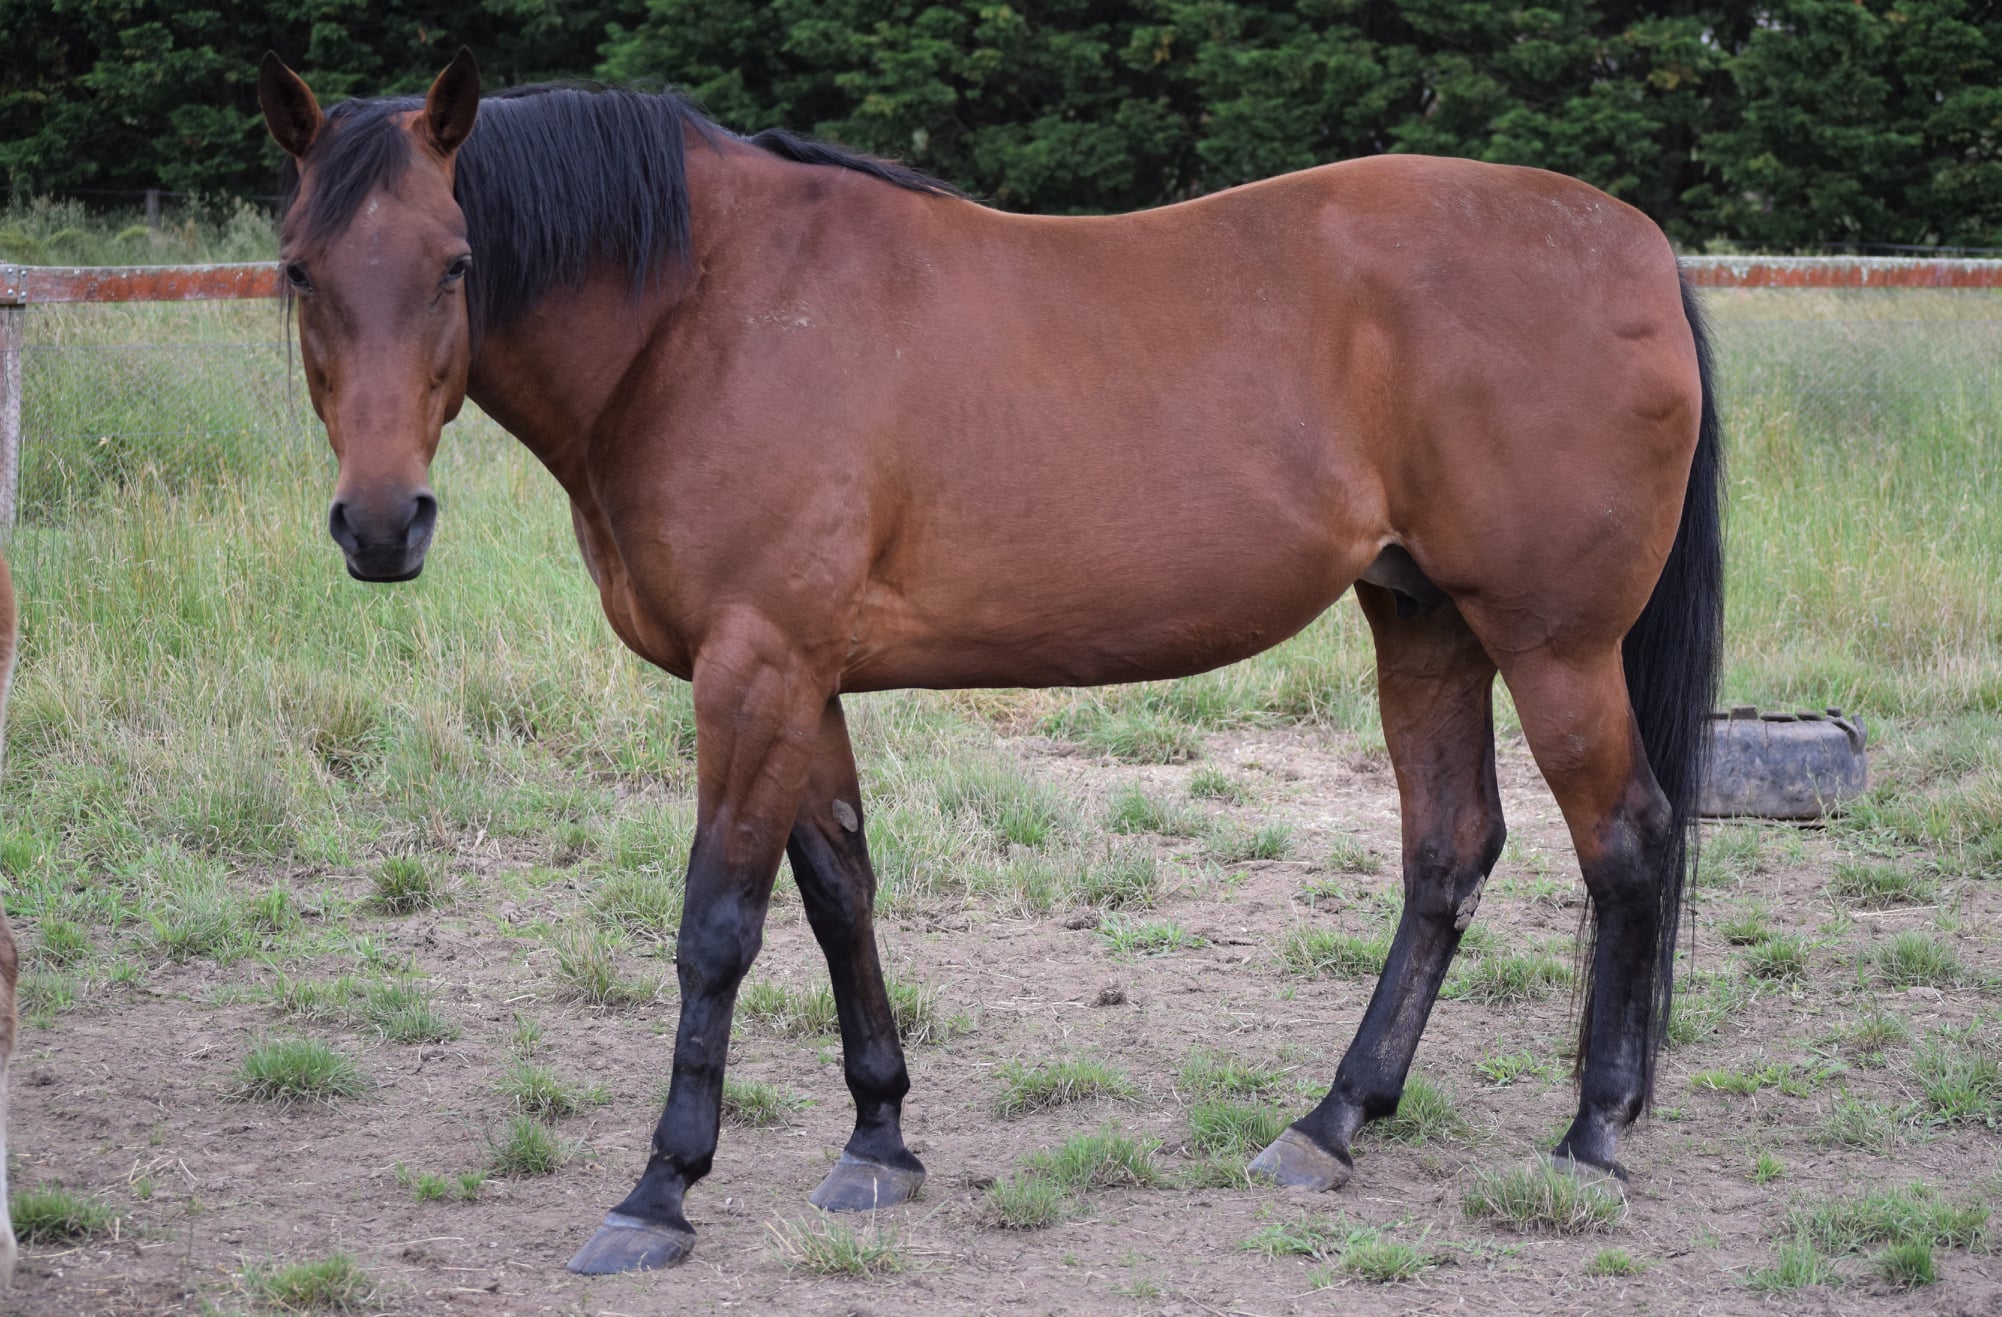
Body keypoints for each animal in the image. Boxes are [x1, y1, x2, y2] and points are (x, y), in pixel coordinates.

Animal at [258, 49, 1722, 1275]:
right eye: (298, 270)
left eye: (456, 263)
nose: (380, 524)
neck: (704, 316)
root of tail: (1634, 246)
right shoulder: (801, 679)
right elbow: (838, 892)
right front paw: (878, 1140)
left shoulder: (753, 669)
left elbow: (716, 926)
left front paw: (659, 1191)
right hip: (1423, 622)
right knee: (1448, 851)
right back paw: (1331, 1122)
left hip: (1552, 644)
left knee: (1626, 843)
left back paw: (1589, 1139)